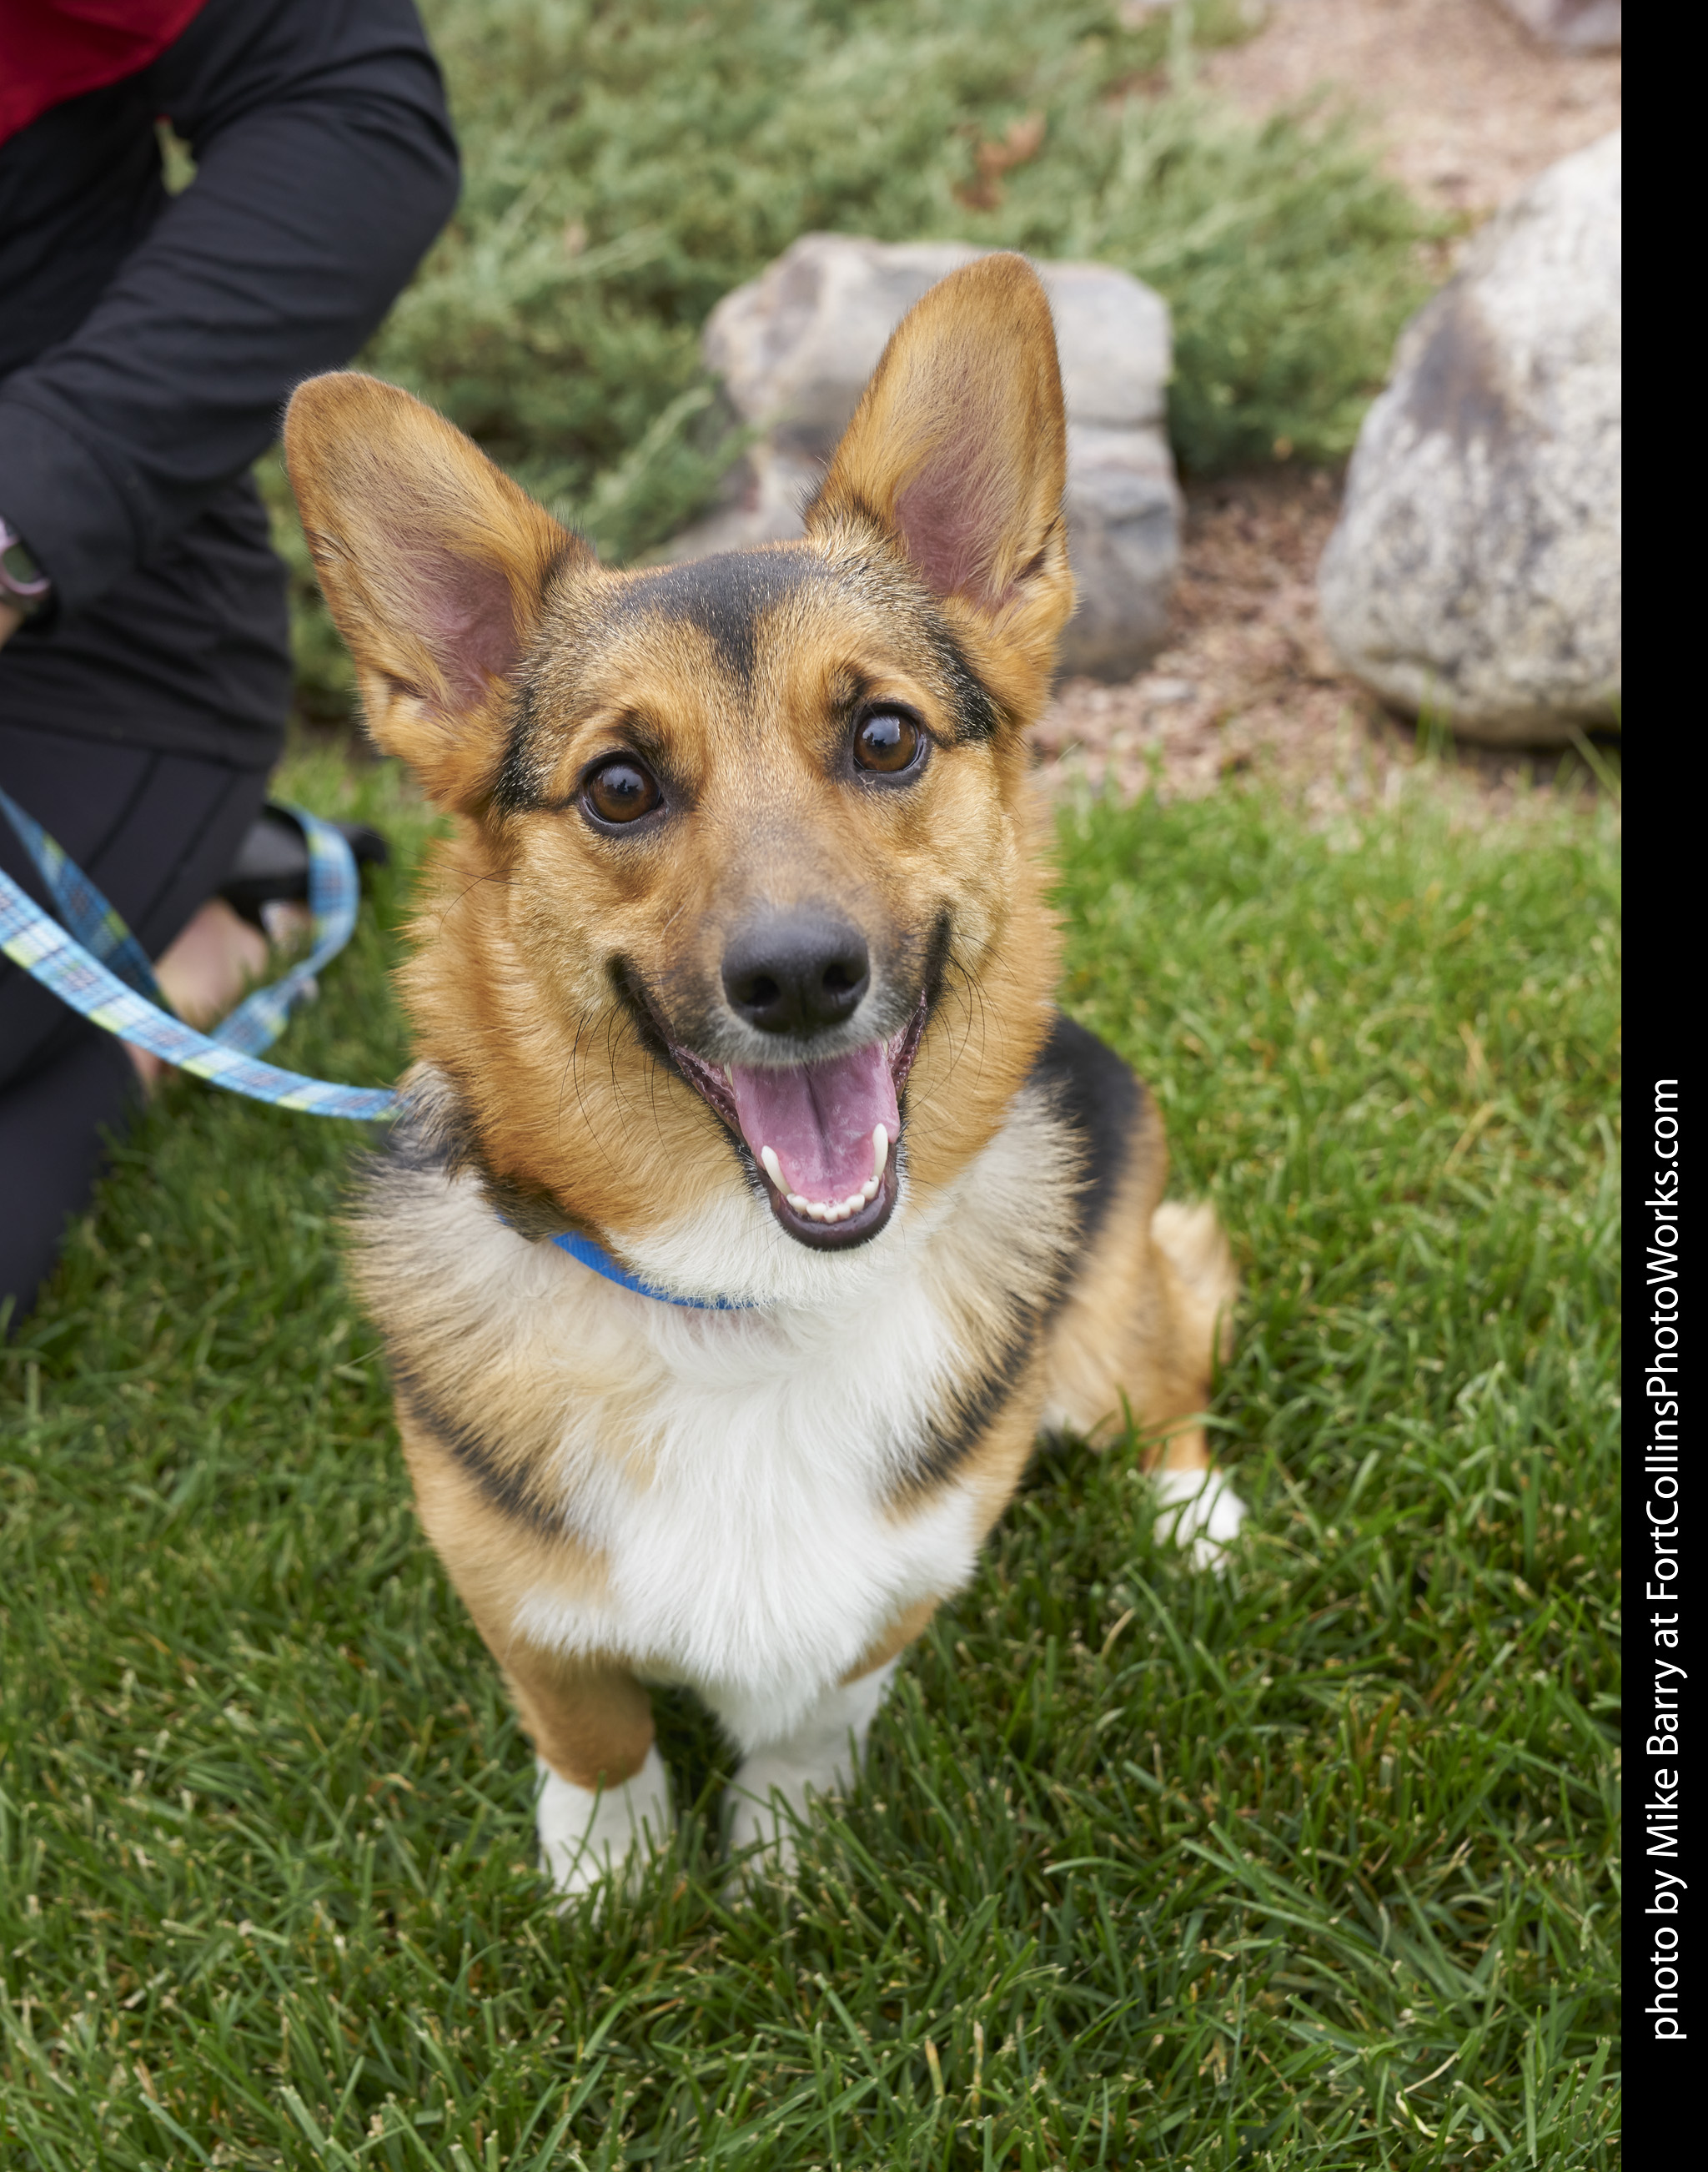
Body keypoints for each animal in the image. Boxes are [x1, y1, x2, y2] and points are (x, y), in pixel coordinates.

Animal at [280, 254, 1233, 1893]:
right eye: (618, 786)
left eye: (884, 736)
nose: (797, 979)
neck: (748, 1298)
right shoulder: (511, 1587)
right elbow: (591, 1723)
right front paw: (610, 1876)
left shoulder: (903, 1577)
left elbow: (815, 1711)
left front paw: (782, 1855)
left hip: (1098, 1345)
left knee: (1166, 1354)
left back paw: (1196, 1514)